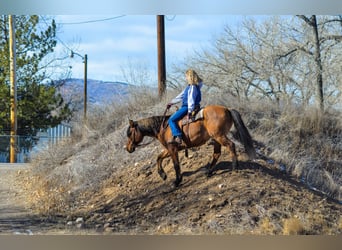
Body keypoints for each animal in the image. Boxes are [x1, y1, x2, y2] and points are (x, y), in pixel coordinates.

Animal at [126, 104, 256, 187]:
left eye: (129, 133)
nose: (128, 148)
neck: (163, 127)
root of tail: (227, 109)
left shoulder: (173, 149)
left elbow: (176, 165)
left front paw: (177, 181)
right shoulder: (169, 148)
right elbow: (159, 158)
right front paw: (163, 175)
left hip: (219, 136)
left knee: (231, 145)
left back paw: (235, 167)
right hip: (216, 139)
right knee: (217, 153)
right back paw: (209, 172)